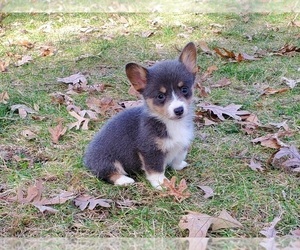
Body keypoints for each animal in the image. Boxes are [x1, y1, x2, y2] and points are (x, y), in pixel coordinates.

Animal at [83, 42, 198, 188]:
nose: (179, 110)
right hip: (107, 159)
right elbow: (156, 170)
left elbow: (178, 157)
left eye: (184, 89)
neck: (170, 122)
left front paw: (179, 165)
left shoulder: (182, 144)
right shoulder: (150, 151)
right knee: (108, 172)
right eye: (160, 96)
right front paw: (162, 185)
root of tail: (87, 159)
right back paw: (125, 180)